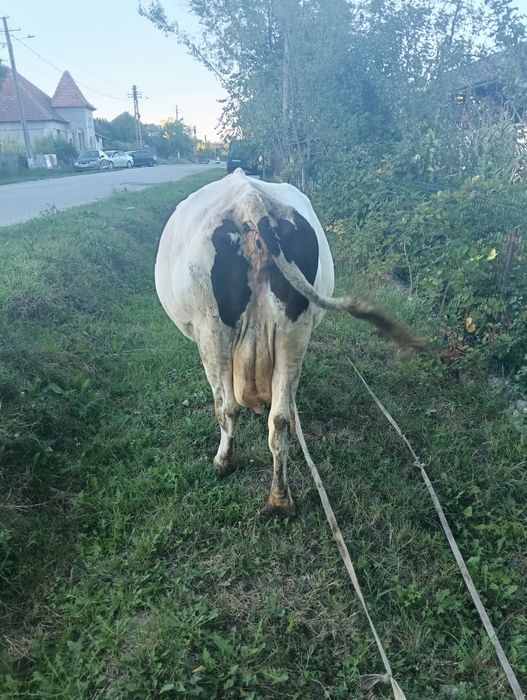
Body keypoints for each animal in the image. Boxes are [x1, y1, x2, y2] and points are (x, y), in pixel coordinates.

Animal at [155, 169, 424, 516]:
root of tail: (252, 203)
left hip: (212, 330)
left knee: (227, 408)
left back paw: (224, 463)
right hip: (294, 331)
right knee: (280, 419)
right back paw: (280, 499)